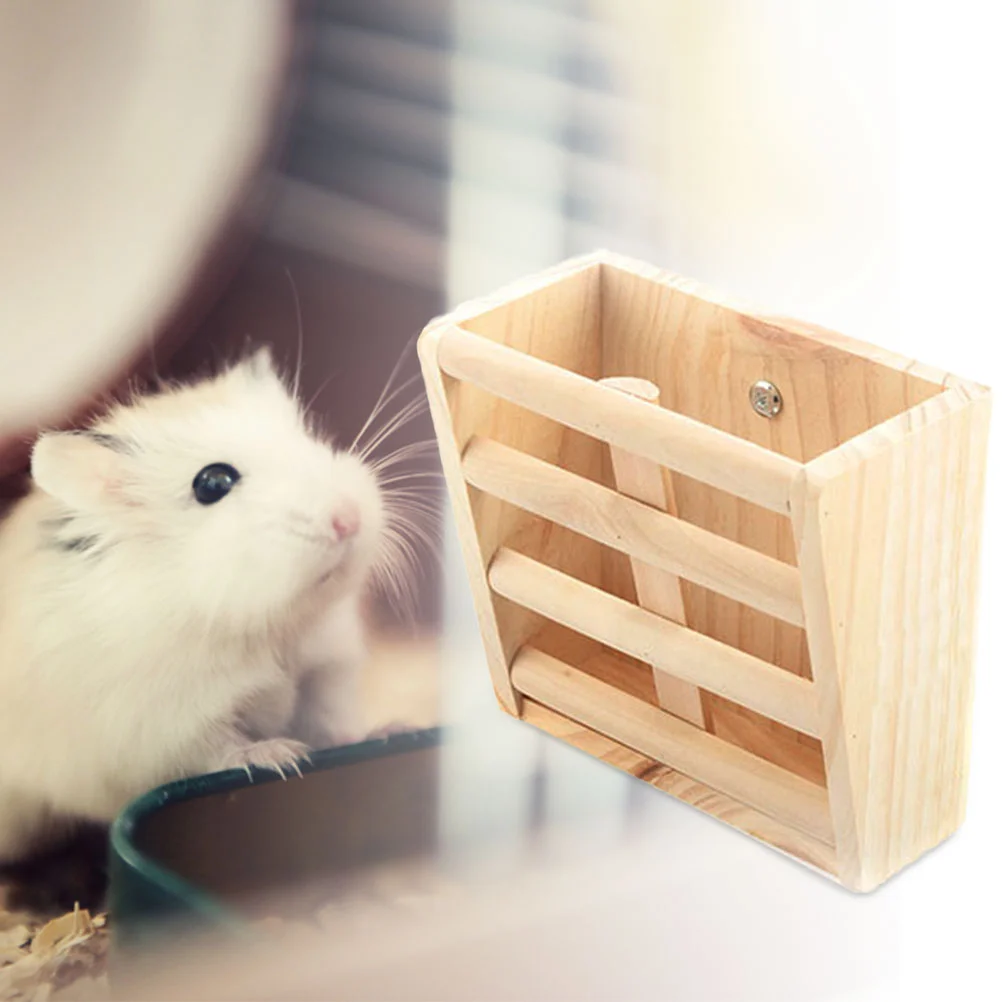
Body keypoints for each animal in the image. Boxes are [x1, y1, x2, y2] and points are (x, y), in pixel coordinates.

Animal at [0, 347, 397, 864]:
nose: (348, 518)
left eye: (308, 436)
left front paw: (383, 732)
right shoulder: (171, 723)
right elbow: (220, 749)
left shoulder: (328, 668)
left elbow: (329, 717)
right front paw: (280, 757)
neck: (270, 625)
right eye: (212, 482)